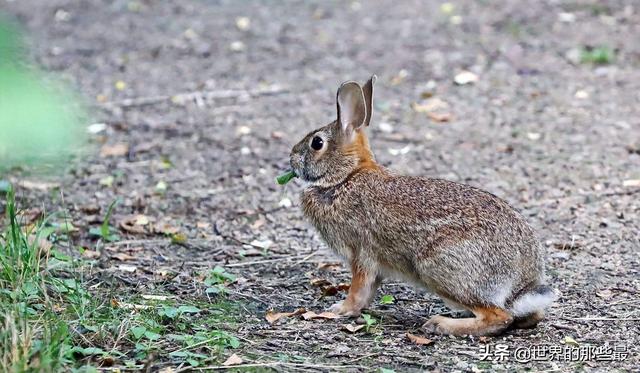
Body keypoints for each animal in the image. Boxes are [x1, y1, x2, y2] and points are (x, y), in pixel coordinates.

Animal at [290, 76, 556, 338]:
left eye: (317, 143)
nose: (291, 158)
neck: (345, 176)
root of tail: (521, 284)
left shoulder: (360, 254)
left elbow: (358, 290)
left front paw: (339, 310)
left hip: (437, 266)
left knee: (499, 317)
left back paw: (441, 324)